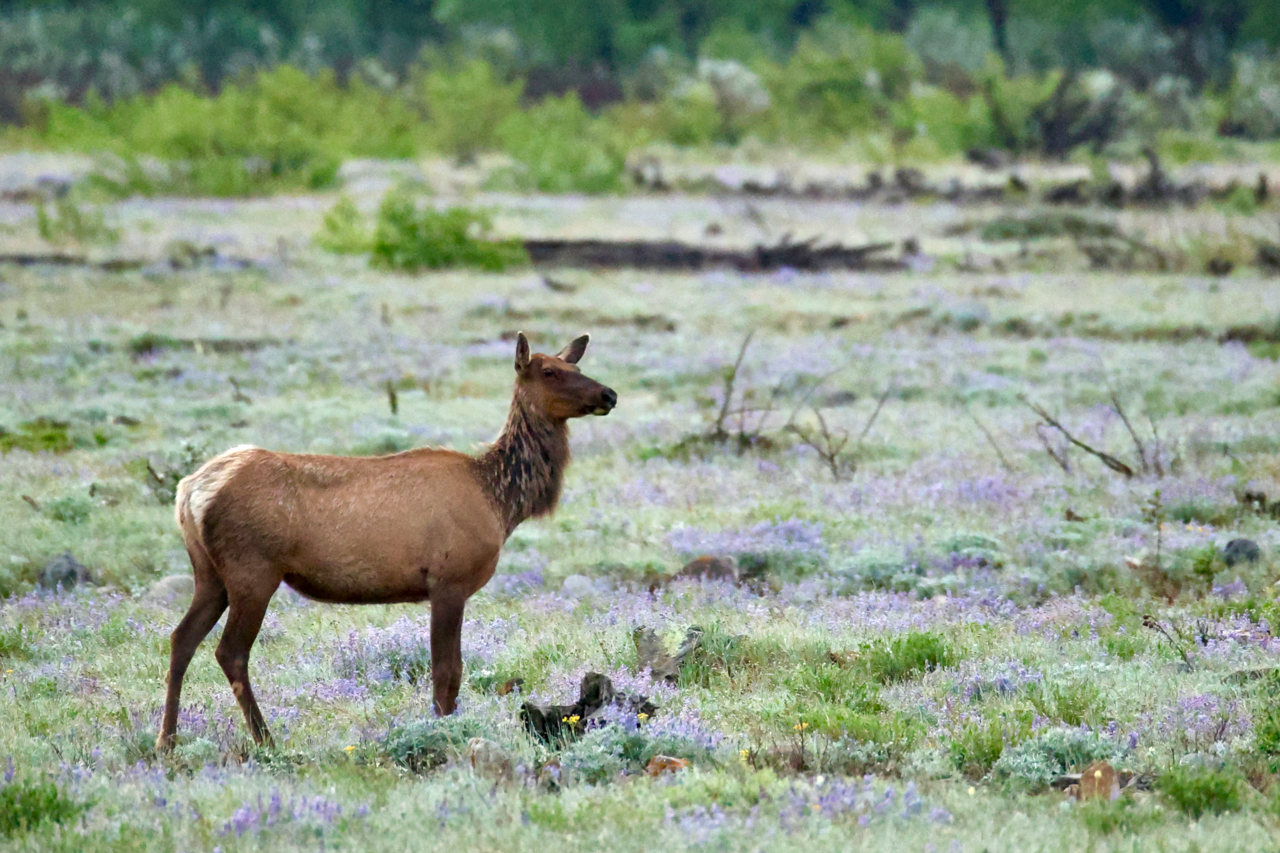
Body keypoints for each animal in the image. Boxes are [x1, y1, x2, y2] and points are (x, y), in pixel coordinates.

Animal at [156, 332, 616, 751]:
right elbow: (447, 673)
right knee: (230, 651)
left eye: (574, 365)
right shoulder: (448, 580)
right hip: (253, 569)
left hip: (210, 573)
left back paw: (167, 741)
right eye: (549, 371)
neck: (500, 502)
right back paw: (266, 740)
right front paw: (444, 735)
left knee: (181, 639)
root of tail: (189, 489)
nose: (608, 393)